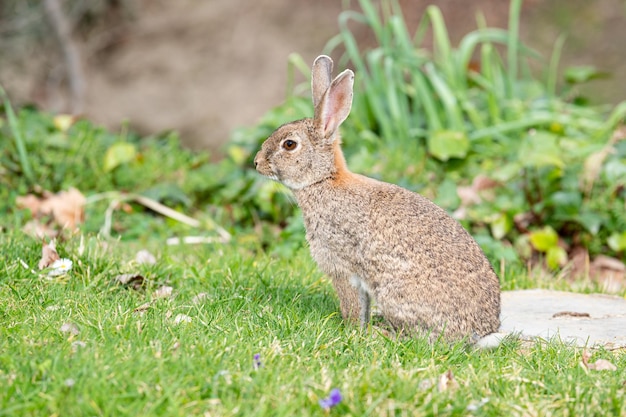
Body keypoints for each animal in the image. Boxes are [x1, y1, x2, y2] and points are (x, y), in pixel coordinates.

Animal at [251, 54, 500, 342]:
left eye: (289, 145)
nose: (256, 162)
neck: (323, 181)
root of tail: (483, 333)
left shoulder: (342, 267)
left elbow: (352, 304)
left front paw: (353, 330)